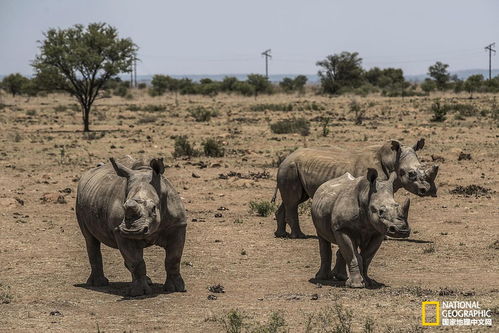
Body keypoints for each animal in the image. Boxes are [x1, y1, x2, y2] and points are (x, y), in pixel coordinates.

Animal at [76, 156, 188, 296]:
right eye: (124, 207)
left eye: (153, 208)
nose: (133, 230)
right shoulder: (120, 232)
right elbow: (136, 261)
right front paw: (139, 293)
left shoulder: (177, 225)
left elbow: (173, 259)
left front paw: (175, 289)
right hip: (79, 199)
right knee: (90, 239)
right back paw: (99, 283)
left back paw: (147, 281)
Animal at [274, 139, 438, 237]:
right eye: (411, 174)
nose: (429, 190)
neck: (393, 160)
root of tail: (285, 159)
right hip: (290, 167)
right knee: (293, 201)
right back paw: (299, 236)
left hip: (293, 168)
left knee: (293, 200)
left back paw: (281, 234)